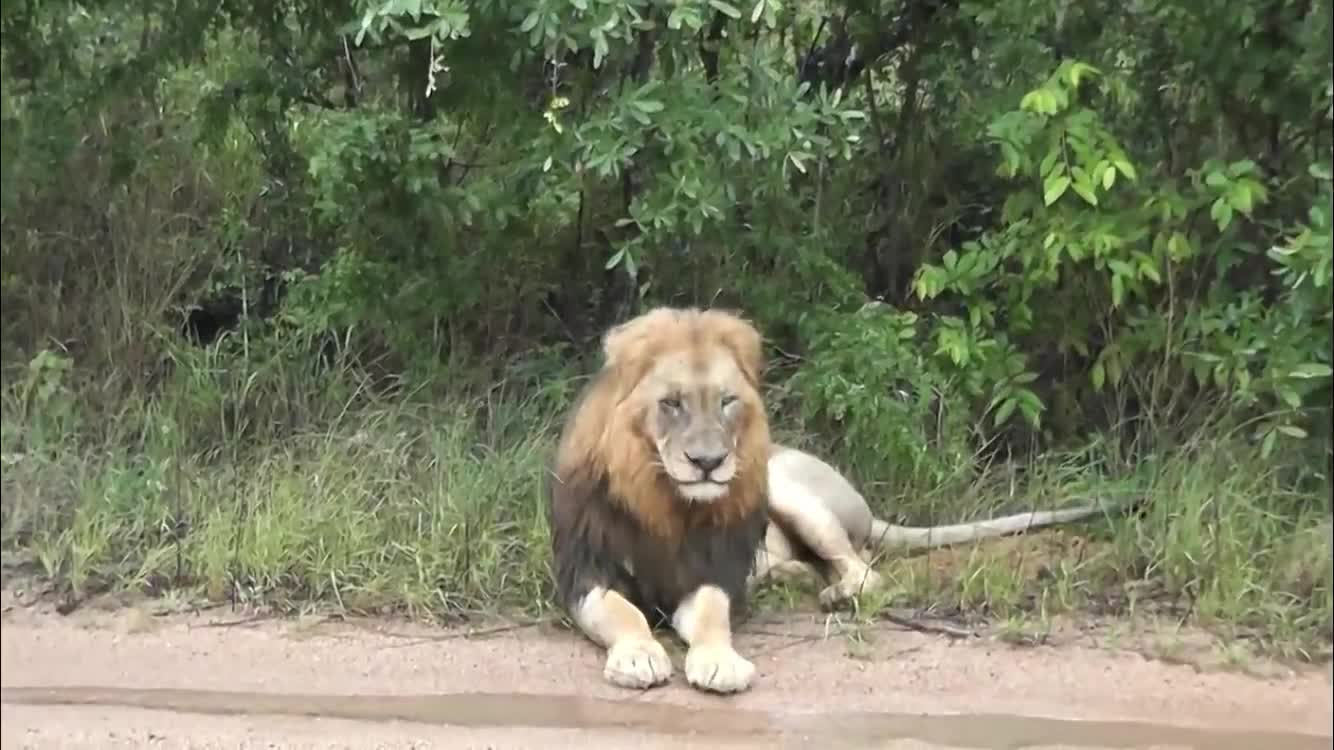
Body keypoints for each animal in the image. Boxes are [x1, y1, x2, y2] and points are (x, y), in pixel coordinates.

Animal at [546, 306, 1120, 693]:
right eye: (671, 404)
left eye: (727, 402)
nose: (708, 462)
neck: (664, 500)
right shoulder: (585, 574)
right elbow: (624, 613)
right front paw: (639, 656)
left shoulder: (712, 572)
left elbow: (712, 616)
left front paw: (720, 662)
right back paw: (793, 577)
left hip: (786, 485)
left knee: (865, 569)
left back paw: (837, 594)